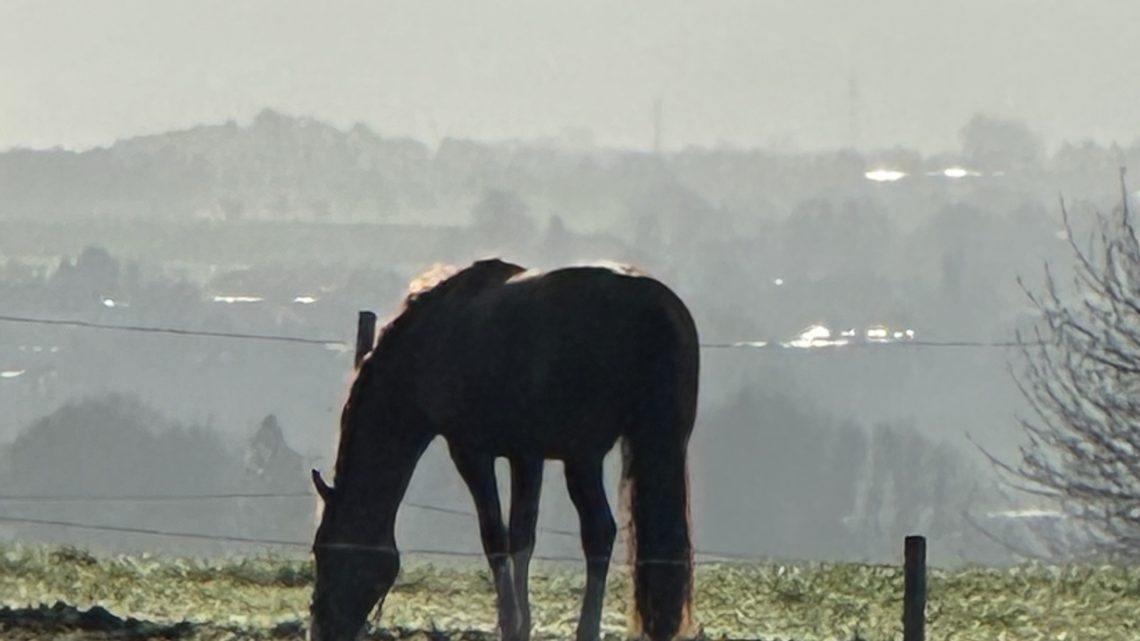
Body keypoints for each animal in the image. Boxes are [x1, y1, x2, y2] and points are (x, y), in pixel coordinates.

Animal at [307, 256, 697, 638]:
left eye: (323, 550)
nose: (322, 628)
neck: (433, 340)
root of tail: (654, 306)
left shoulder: (471, 453)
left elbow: (494, 536)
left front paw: (510, 623)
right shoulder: (527, 456)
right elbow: (522, 536)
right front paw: (522, 625)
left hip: (583, 457)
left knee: (599, 532)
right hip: (657, 447)